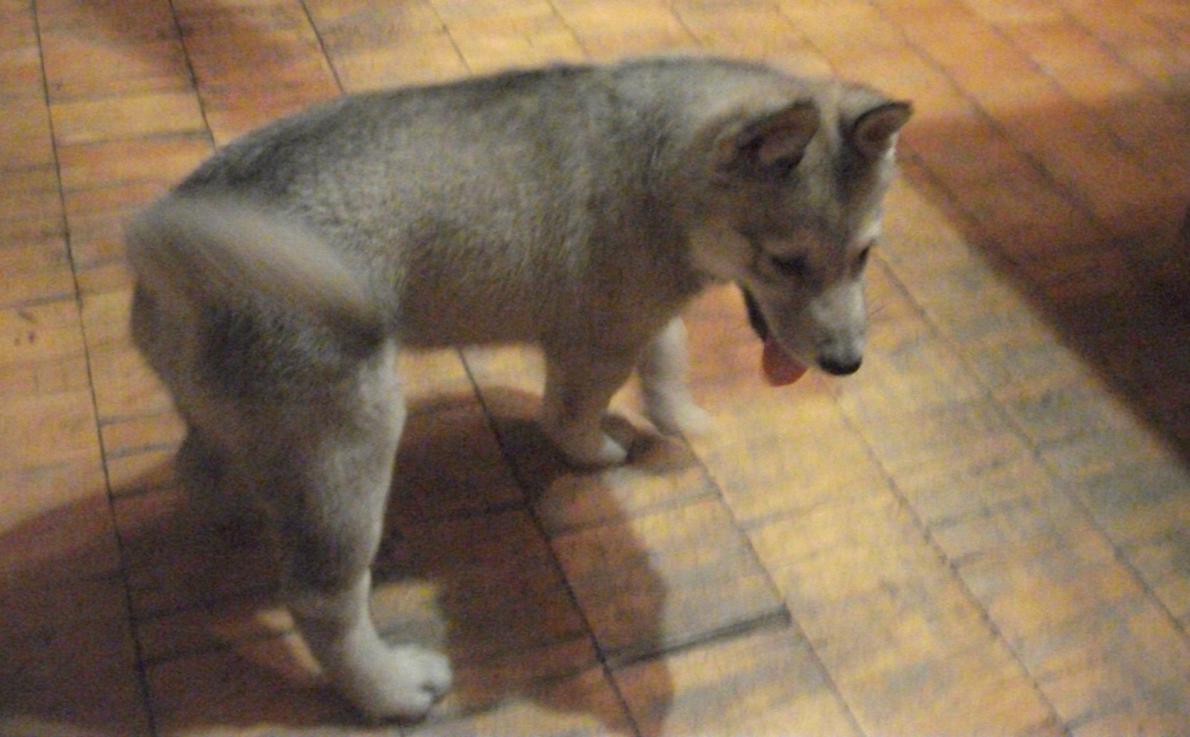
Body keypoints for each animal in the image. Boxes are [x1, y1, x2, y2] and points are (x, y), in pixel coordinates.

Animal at [126, 55, 910, 720]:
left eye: (864, 256)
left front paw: (680, 414)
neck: (661, 170)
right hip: (349, 436)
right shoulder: (598, 340)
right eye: (786, 261)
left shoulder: (641, 311)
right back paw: (390, 687)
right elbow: (572, 412)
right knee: (322, 600)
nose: (846, 363)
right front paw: (597, 451)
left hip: (257, 431)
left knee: (206, 472)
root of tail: (172, 246)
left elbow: (669, 355)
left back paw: (251, 521)